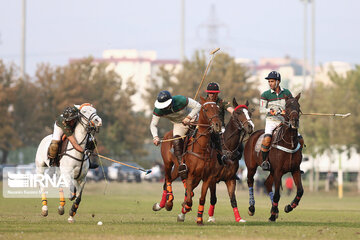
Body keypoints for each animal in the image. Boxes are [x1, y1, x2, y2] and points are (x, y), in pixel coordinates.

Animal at [243, 93, 302, 222]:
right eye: (287, 107)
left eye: (298, 106)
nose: (294, 121)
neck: (289, 142)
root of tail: (252, 135)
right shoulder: (278, 171)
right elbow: (277, 195)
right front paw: (272, 215)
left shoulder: (295, 170)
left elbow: (300, 191)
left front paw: (289, 207)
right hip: (251, 166)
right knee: (250, 181)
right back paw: (252, 208)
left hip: (272, 170)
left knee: (267, 183)